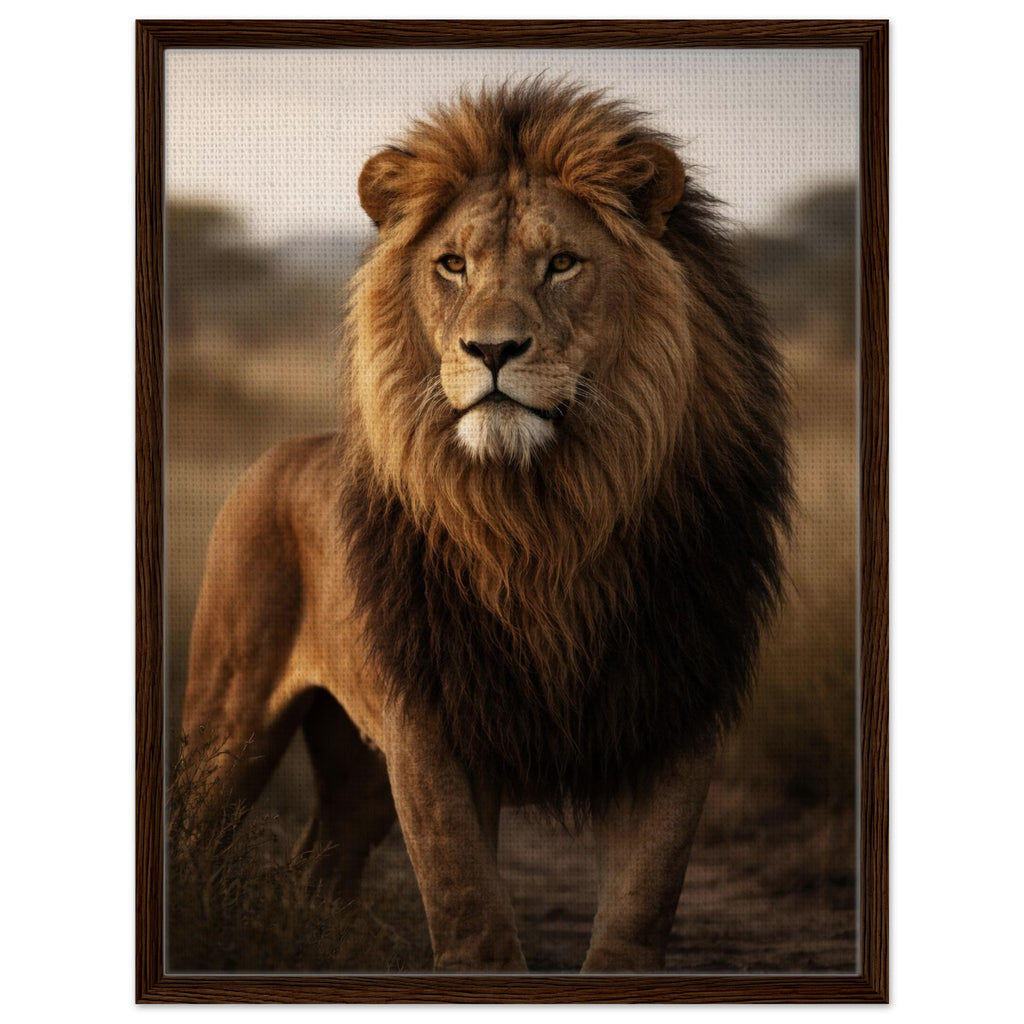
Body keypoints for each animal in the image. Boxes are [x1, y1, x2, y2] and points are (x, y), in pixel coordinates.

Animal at [183, 81, 791, 973]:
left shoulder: (674, 714)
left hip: (356, 761)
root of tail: (277, 454)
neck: (542, 518)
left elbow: (637, 917)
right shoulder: (430, 724)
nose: (492, 349)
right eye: (453, 264)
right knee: (196, 838)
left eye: (562, 263)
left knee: (319, 864)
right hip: (230, 721)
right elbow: (470, 910)